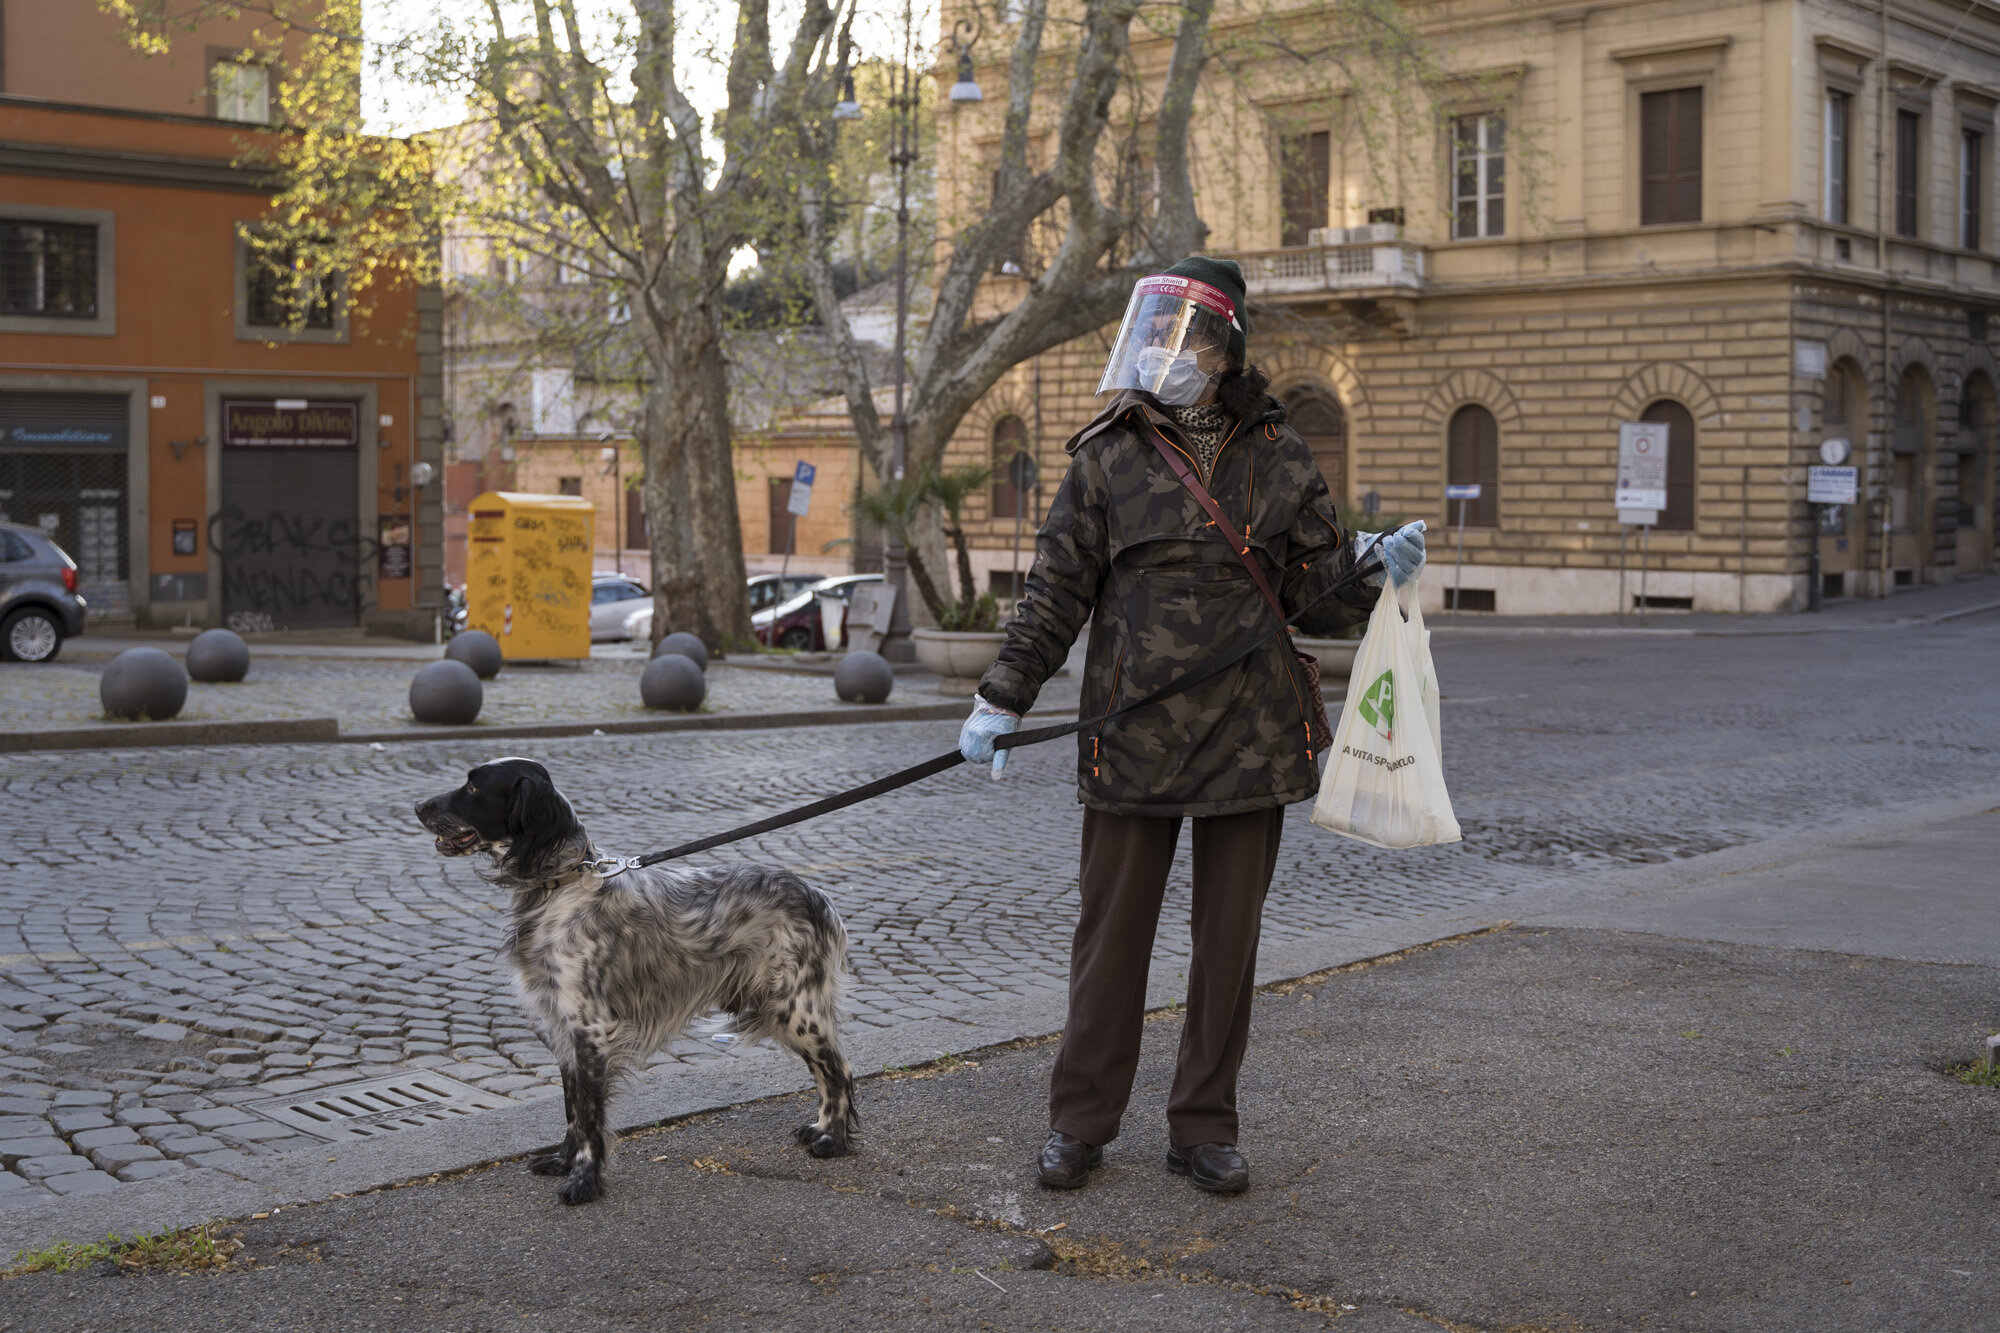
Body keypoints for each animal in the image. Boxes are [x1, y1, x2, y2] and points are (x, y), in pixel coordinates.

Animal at [418, 752, 856, 1200]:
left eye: (473, 787)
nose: (418, 808)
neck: (560, 886)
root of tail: (820, 897)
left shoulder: (590, 1028)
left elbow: (589, 1116)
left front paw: (584, 1181)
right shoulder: (563, 1026)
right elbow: (572, 1109)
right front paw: (562, 1162)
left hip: (796, 1008)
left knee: (839, 1071)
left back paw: (833, 1140)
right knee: (826, 1072)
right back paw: (820, 1128)